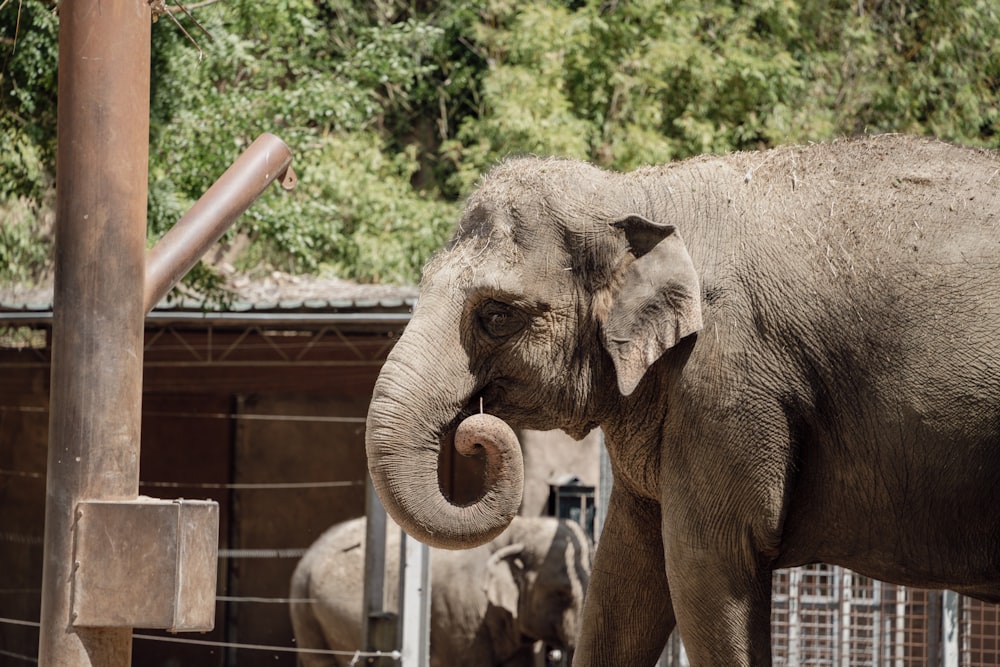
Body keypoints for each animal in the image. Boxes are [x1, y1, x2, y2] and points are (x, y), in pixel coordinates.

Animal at [366, 133, 1000, 664]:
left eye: (496, 315)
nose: (474, 431)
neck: (635, 192)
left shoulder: (729, 381)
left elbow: (705, 563)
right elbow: (625, 570)